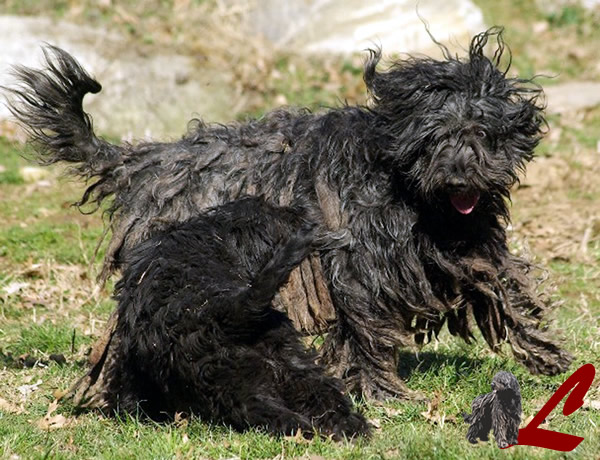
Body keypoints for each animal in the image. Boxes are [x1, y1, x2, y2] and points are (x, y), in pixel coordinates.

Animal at [8, 27, 572, 398]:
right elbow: (365, 332)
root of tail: (143, 160)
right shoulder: (354, 268)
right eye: (435, 137)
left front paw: (546, 354)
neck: (410, 191)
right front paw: (380, 392)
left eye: (479, 132)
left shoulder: (466, 249)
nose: (459, 181)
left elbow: (506, 287)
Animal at [96, 197, 368, 438]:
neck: (217, 232)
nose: (301, 210)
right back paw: (342, 427)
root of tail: (218, 314)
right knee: (313, 395)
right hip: (275, 364)